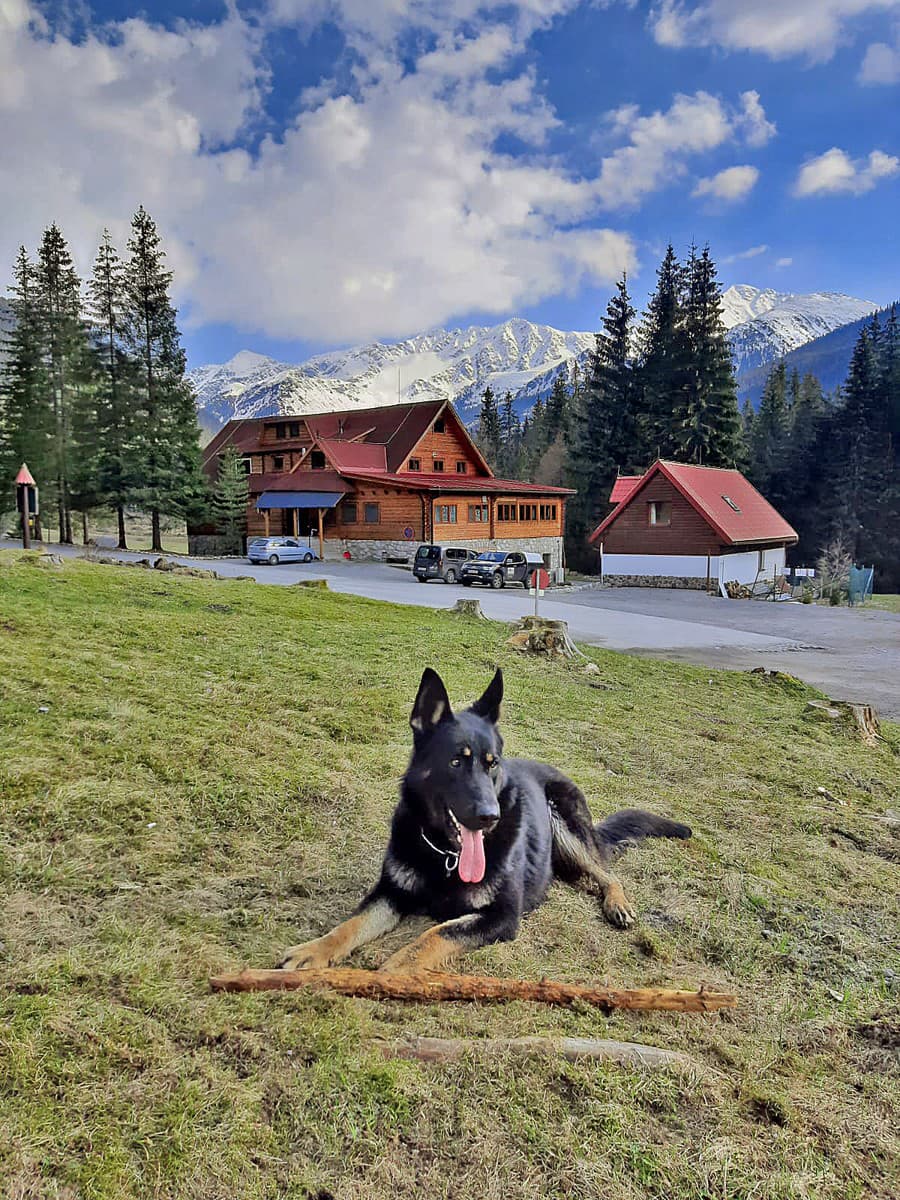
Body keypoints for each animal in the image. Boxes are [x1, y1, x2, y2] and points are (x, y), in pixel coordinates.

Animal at [278, 667, 696, 974]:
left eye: (492, 764)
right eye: (455, 761)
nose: (490, 817)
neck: (445, 855)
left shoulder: (500, 916)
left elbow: (434, 935)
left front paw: (392, 971)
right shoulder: (390, 893)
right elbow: (350, 925)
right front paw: (313, 950)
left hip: (565, 824)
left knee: (607, 874)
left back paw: (617, 903)